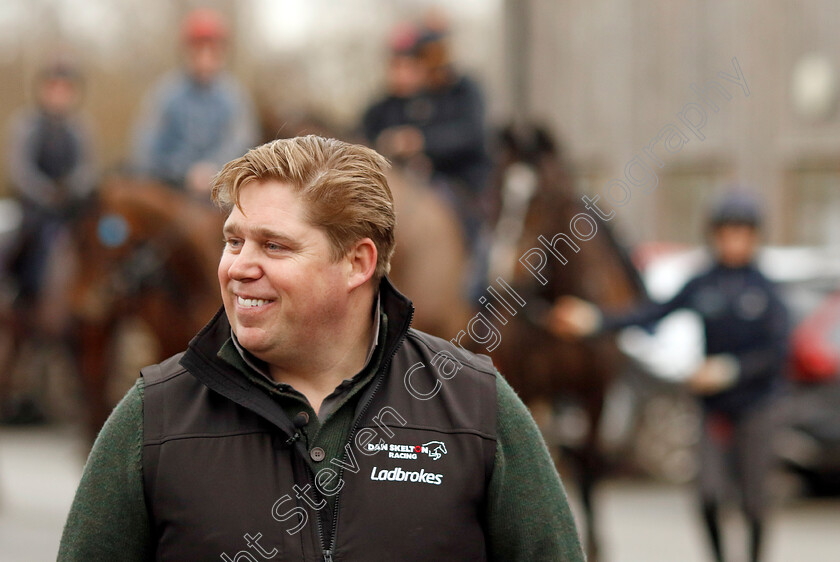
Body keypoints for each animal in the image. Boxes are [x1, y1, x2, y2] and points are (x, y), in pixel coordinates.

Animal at [486, 124, 644, 556]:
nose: (501, 275)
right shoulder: (526, 384)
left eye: (546, 198)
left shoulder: (595, 394)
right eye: (496, 192)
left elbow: (588, 466)